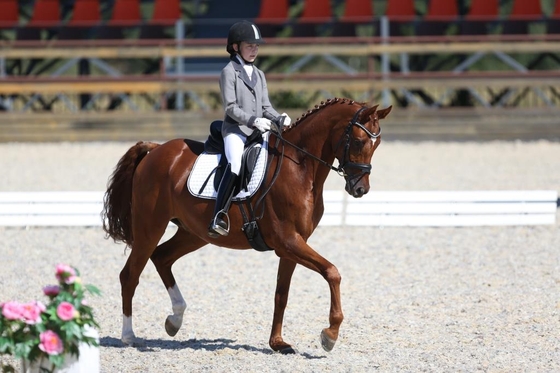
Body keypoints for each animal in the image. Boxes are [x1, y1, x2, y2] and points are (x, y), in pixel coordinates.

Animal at [103, 98, 392, 352]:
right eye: (358, 141)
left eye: (377, 144)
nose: (360, 189)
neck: (300, 168)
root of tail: (156, 149)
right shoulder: (288, 241)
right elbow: (332, 272)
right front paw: (329, 335)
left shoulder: (293, 245)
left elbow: (281, 294)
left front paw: (278, 343)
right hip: (150, 227)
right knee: (130, 274)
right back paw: (129, 336)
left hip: (194, 233)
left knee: (162, 257)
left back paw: (175, 320)